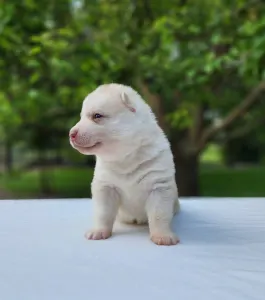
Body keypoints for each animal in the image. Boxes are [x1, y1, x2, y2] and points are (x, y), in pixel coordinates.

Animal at [68, 83, 179, 245]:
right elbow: (103, 213)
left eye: (97, 116)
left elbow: (159, 214)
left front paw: (162, 236)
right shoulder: (105, 187)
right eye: (81, 117)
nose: (71, 134)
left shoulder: (159, 186)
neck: (125, 159)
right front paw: (99, 231)